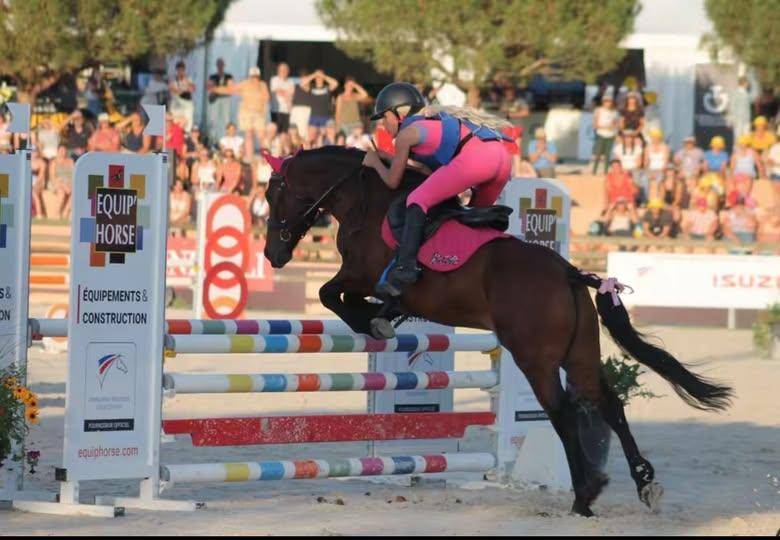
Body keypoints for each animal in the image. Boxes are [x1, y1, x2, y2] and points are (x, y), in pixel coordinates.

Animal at [263, 146, 733, 517]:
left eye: (272, 194)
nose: (272, 255)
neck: (366, 201)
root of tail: (568, 272)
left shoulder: (358, 274)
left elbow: (329, 293)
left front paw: (373, 319)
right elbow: (345, 297)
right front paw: (384, 315)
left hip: (534, 358)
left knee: (563, 412)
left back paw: (584, 495)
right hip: (579, 355)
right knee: (609, 405)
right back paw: (641, 483)